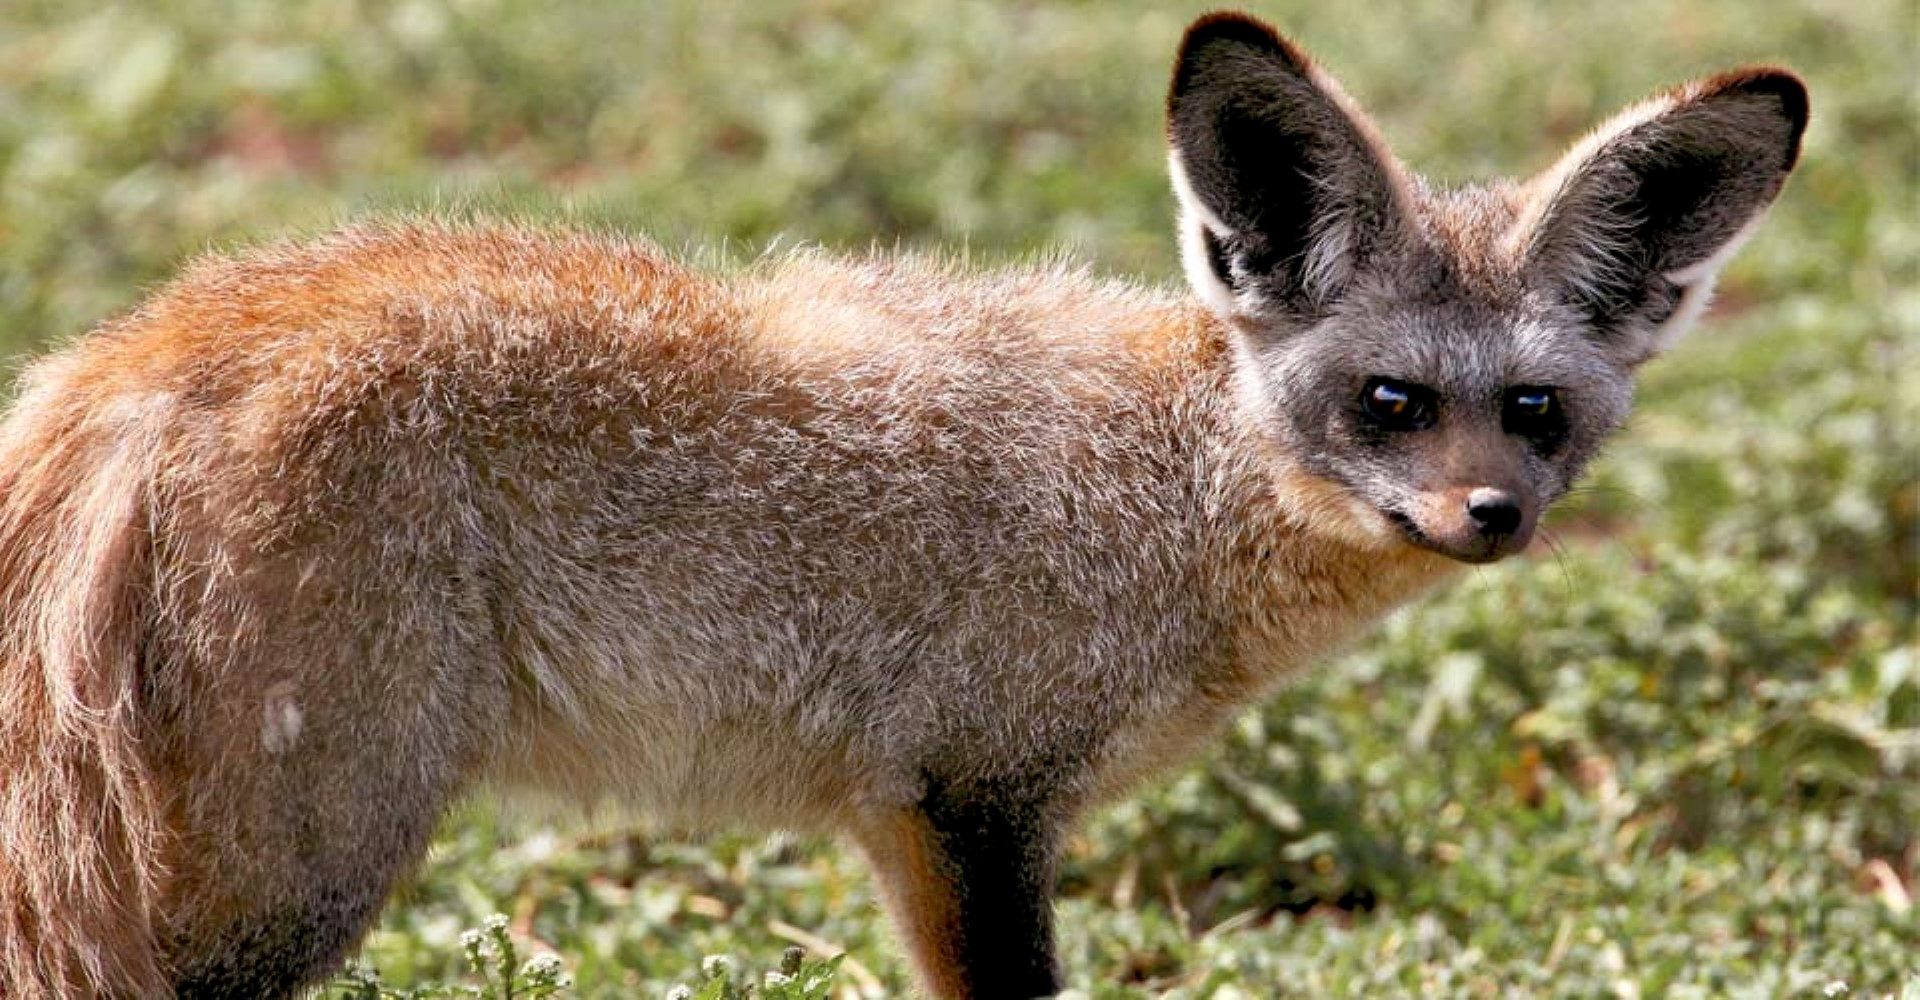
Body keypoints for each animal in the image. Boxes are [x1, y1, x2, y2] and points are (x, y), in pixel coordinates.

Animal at [0, 9, 1797, 998]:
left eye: (1538, 414)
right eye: (1389, 405)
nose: (1492, 515)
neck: (1165, 493)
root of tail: (140, 348)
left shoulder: (918, 821)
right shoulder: (968, 800)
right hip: (300, 873)